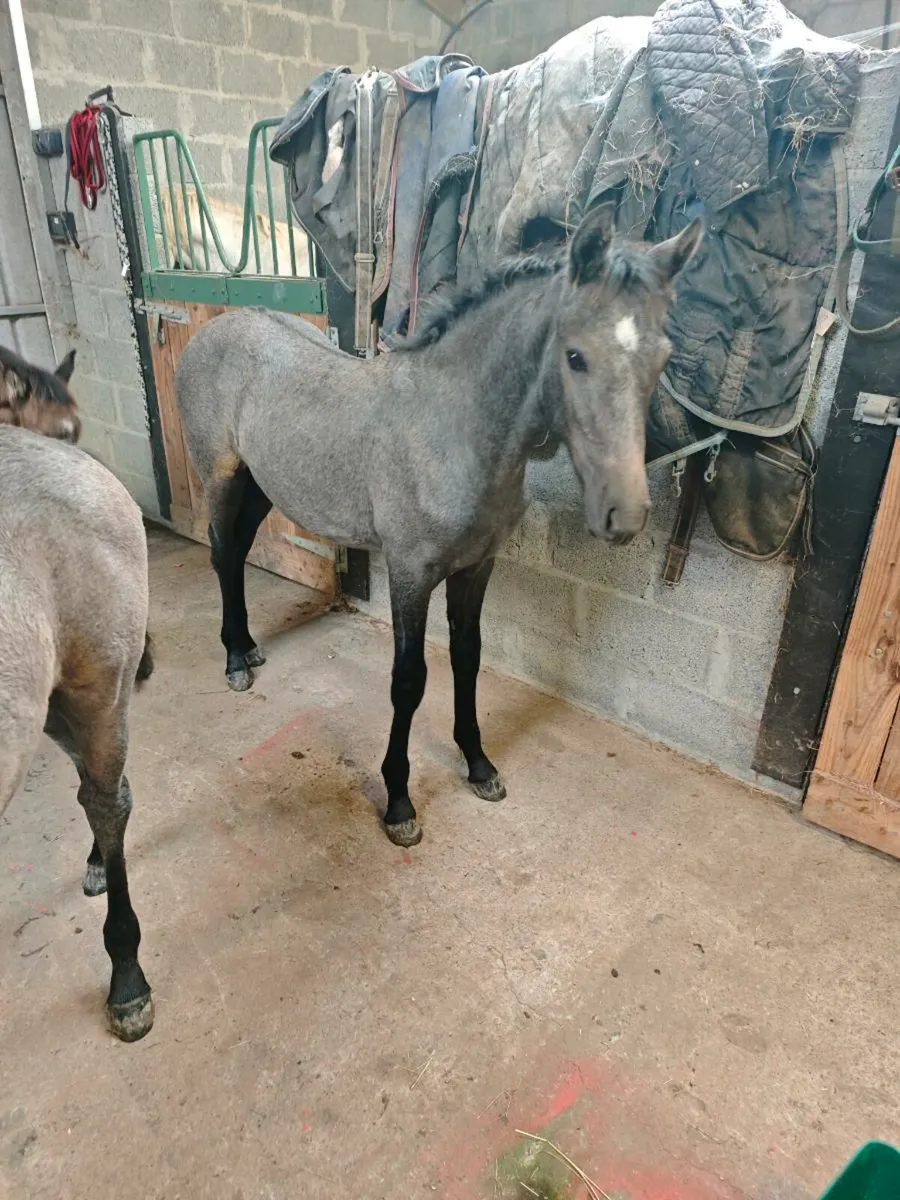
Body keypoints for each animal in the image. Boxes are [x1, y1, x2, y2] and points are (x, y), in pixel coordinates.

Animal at [175, 204, 703, 847]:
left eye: (663, 356)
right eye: (575, 356)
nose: (624, 515)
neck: (453, 431)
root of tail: (221, 328)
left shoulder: (476, 568)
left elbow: (466, 659)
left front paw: (478, 765)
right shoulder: (410, 573)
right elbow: (409, 680)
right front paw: (399, 802)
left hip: (260, 484)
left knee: (239, 550)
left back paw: (249, 648)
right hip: (222, 477)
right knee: (223, 554)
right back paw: (233, 661)